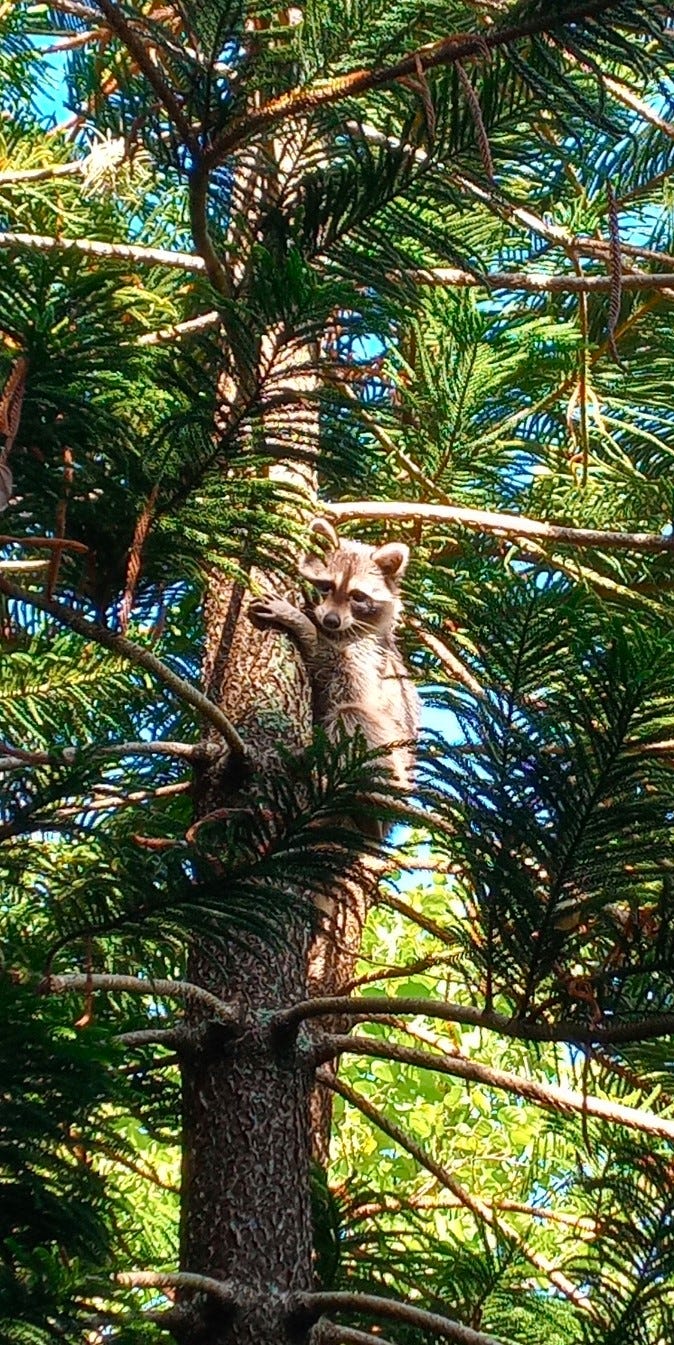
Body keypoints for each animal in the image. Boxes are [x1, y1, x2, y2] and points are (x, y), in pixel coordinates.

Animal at [247, 516, 417, 790]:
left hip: (391, 763)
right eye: (326, 586)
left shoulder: (370, 653)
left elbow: (351, 686)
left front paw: (305, 627)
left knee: (352, 714)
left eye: (357, 596)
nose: (331, 620)